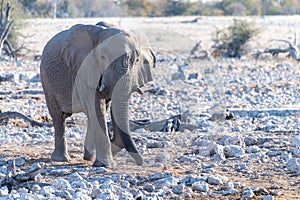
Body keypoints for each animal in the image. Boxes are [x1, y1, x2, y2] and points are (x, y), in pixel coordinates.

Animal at [40, 21, 156, 166]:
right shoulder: (83, 68)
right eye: (103, 57)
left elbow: (103, 108)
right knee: (58, 117)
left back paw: (88, 157)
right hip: (46, 81)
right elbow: (96, 106)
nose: (141, 162)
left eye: (136, 61)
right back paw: (61, 159)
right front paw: (105, 165)